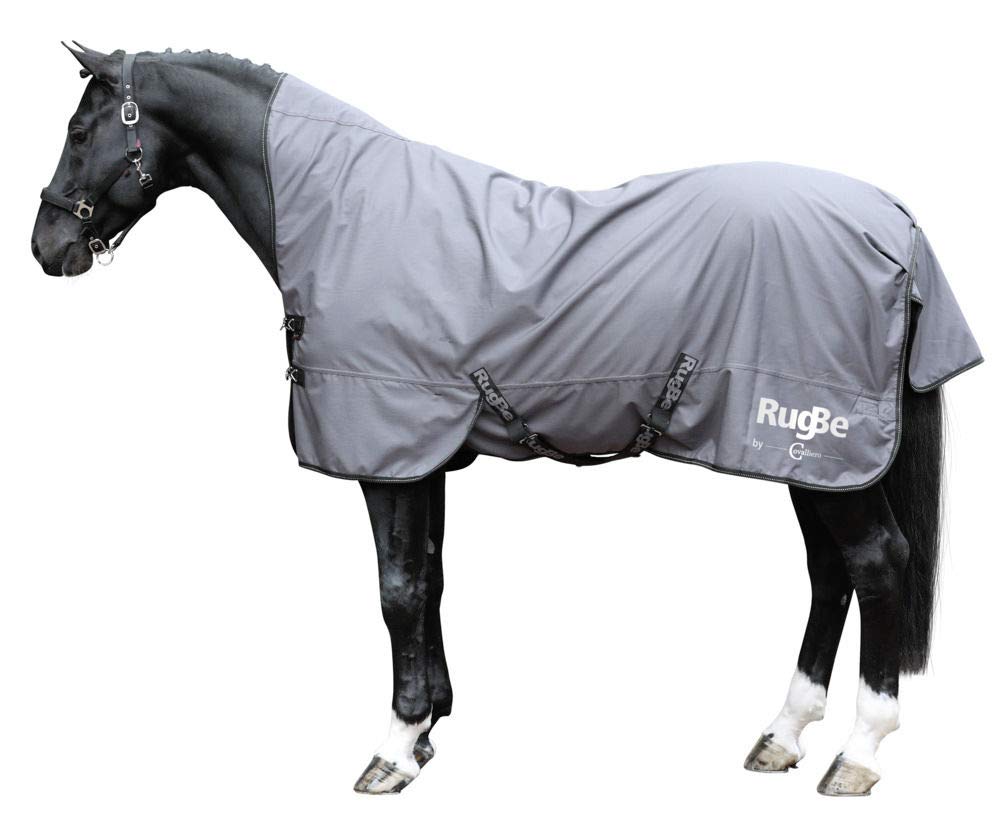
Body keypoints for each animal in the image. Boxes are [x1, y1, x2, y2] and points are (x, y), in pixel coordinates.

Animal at [31, 43, 982, 797]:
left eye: (80, 132)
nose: (47, 248)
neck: (344, 210)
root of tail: (893, 218)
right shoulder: (424, 454)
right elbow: (431, 578)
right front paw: (430, 725)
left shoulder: (389, 453)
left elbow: (396, 589)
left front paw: (393, 746)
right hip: (804, 458)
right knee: (831, 572)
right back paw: (783, 734)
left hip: (820, 447)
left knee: (878, 563)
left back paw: (857, 753)